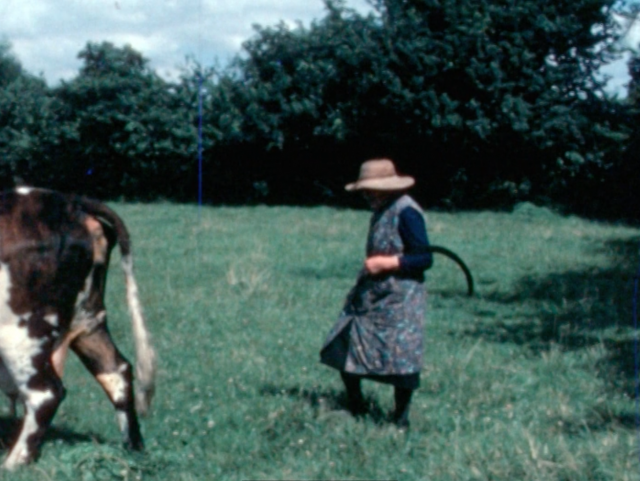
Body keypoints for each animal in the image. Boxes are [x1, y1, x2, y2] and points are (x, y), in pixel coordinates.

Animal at [0, 186, 156, 466]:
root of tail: (72, 202)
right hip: (89, 319)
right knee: (117, 371)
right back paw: (133, 450)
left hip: (19, 331)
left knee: (47, 392)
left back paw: (13, 463)